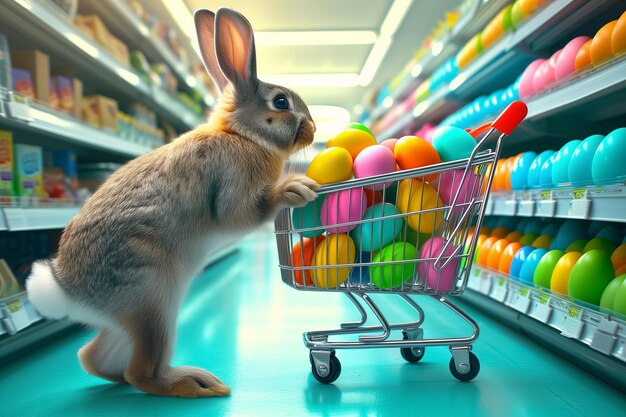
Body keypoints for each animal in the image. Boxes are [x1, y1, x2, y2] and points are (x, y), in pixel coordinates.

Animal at [25, 6, 316, 396]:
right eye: (281, 102)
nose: (314, 130)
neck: (243, 135)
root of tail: (65, 290)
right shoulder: (234, 187)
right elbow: (245, 212)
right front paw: (295, 188)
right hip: (154, 296)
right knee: (143, 372)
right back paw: (197, 384)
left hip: (138, 315)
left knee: (95, 358)